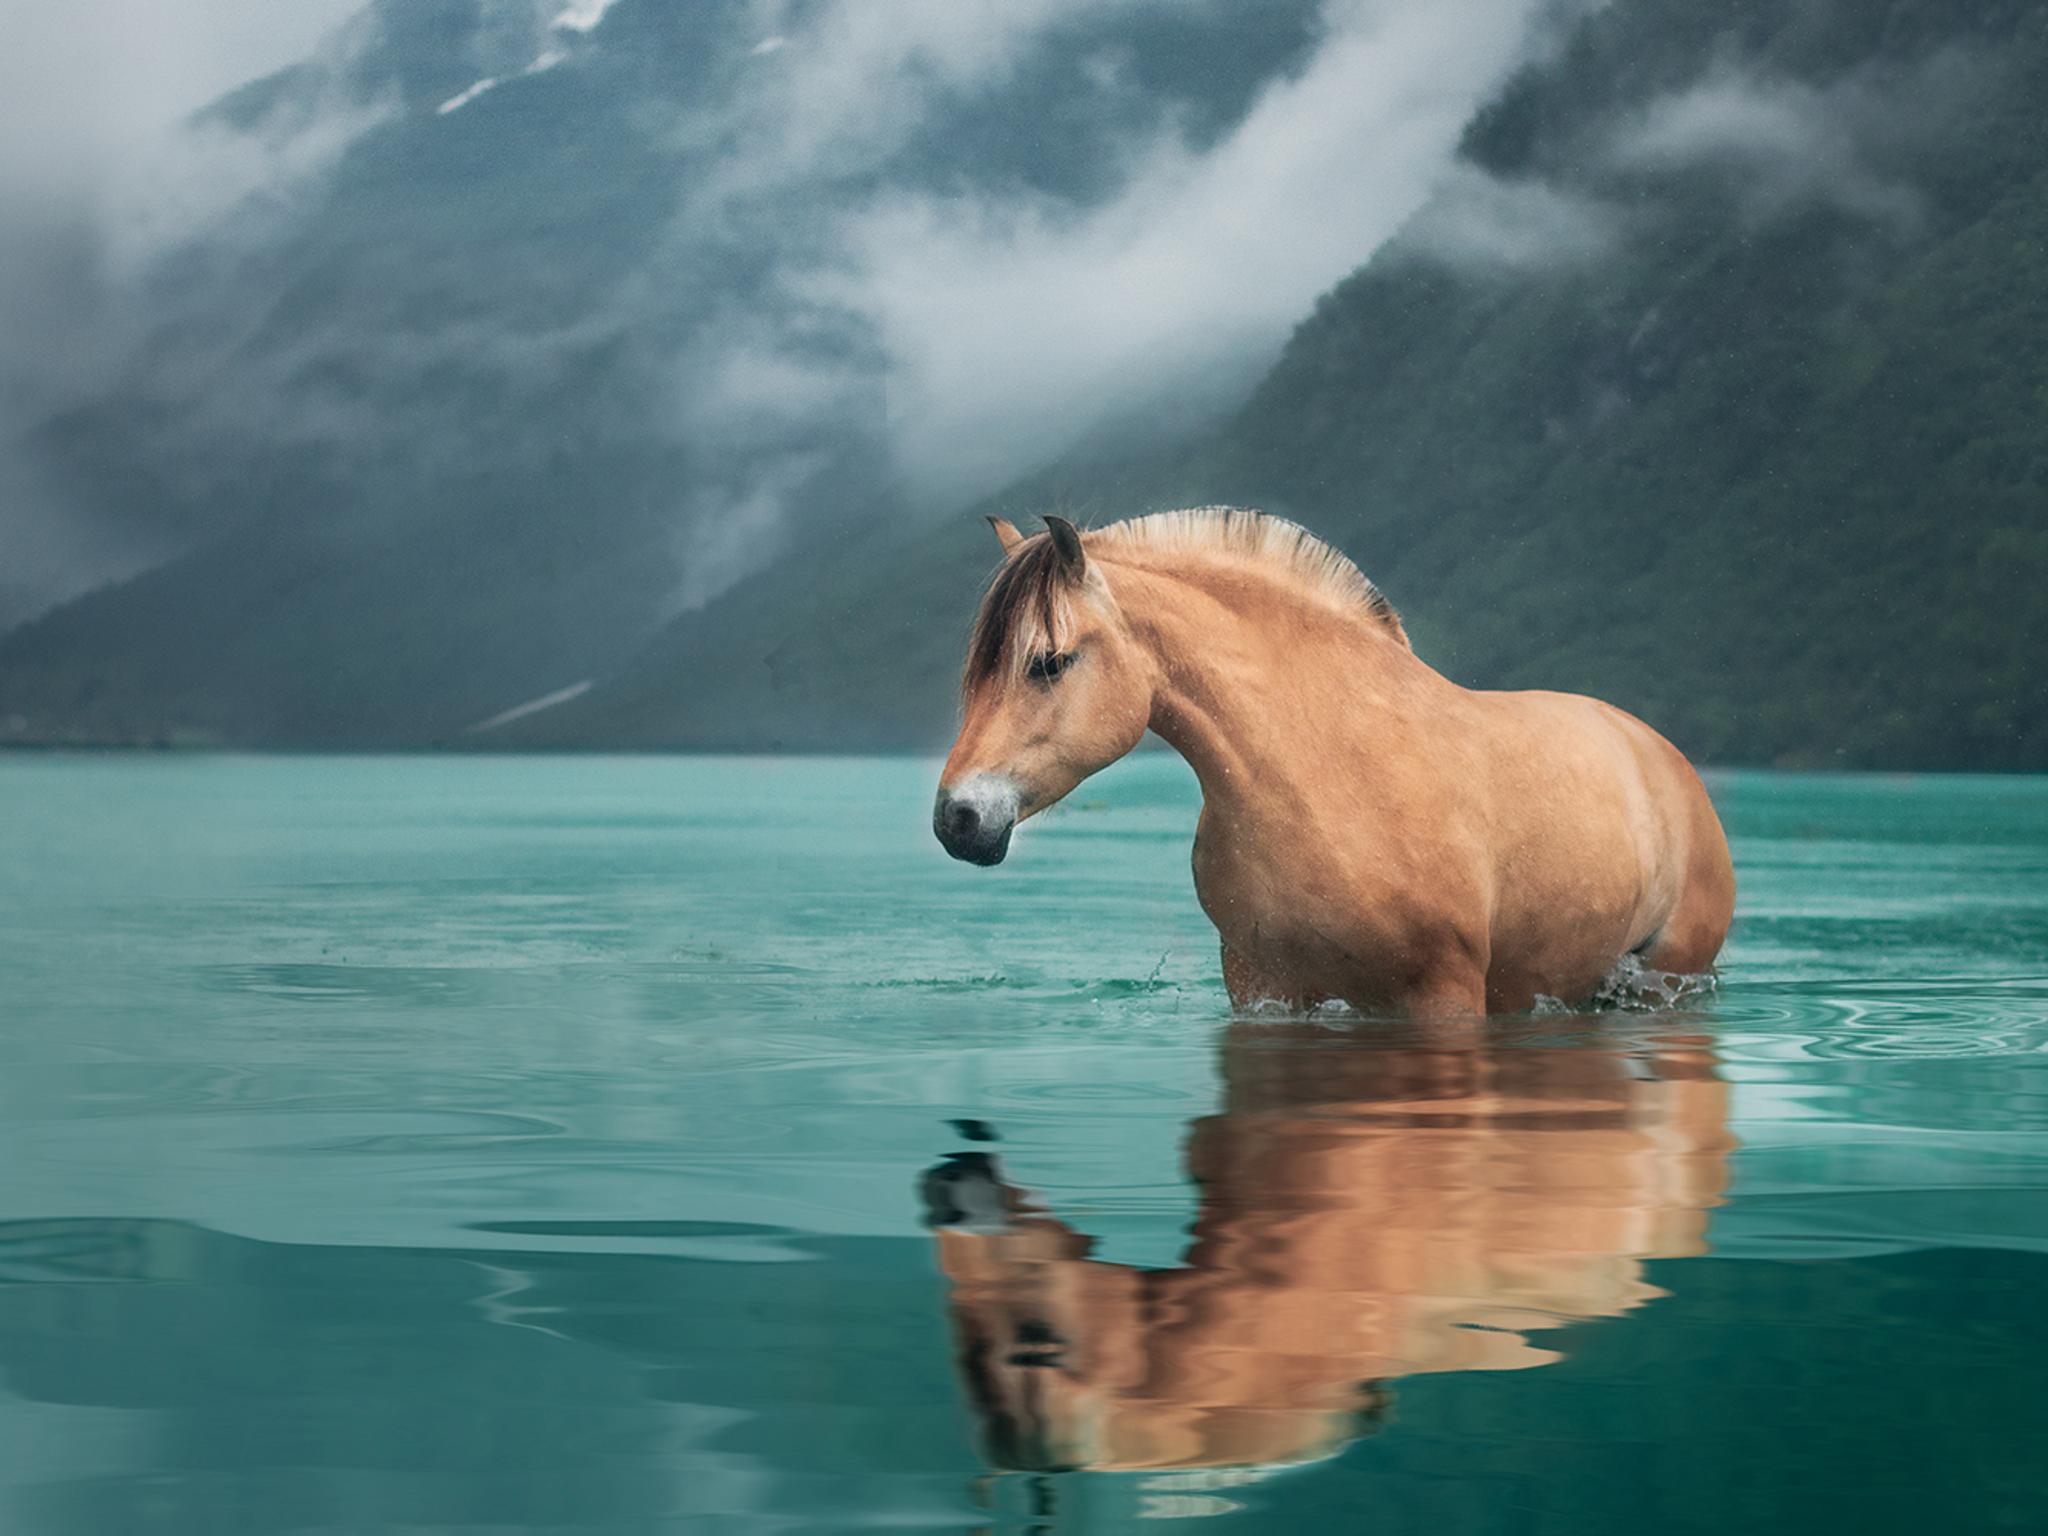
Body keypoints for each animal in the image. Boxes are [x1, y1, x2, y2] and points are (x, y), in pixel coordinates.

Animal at [933, 509, 1735, 1015]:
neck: (1324, 774)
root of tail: (1667, 760)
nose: (957, 820)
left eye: (1048, 661)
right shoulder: (1264, 988)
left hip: (1666, 975)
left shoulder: (1443, 993)